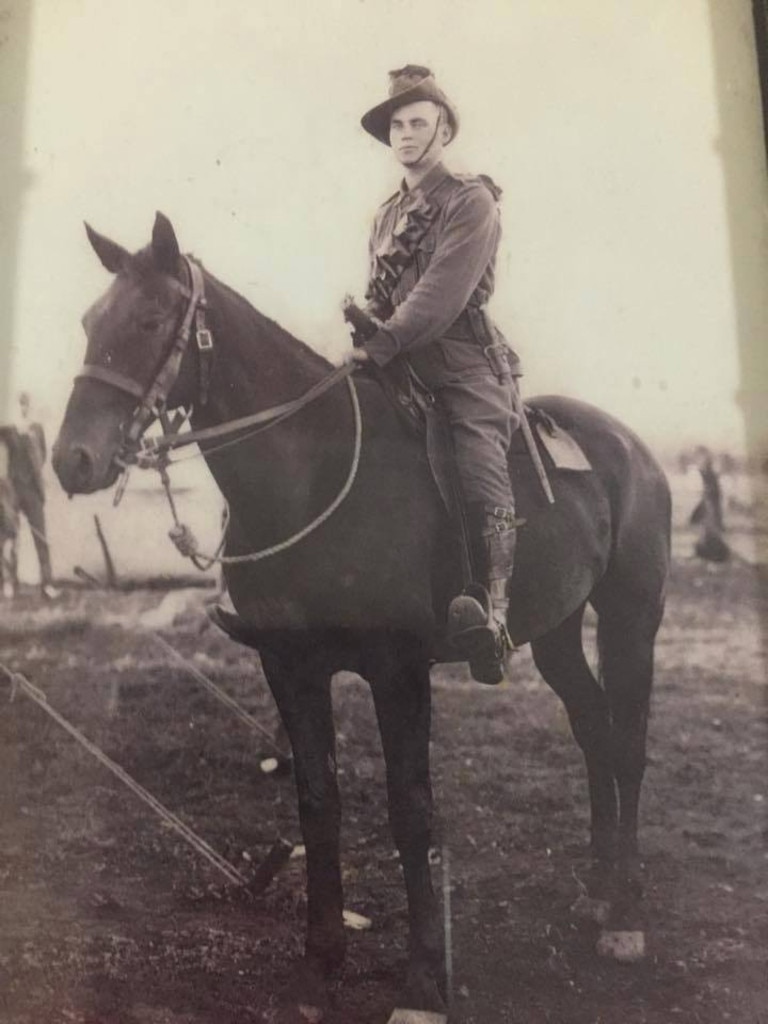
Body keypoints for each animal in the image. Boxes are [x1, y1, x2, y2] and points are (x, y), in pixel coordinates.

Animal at [52, 211, 671, 1019]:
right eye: (91, 321)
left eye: (152, 320)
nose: (72, 460)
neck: (310, 476)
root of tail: (629, 448)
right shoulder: (289, 666)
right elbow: (318, 803)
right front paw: (320, 965)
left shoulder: (398, 671)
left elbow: (411, 813)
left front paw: (423, 984)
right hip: (559, 634)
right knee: (594, 731)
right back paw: (598, 894)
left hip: (632, 620)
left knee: (626, 746)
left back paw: (625, 916)